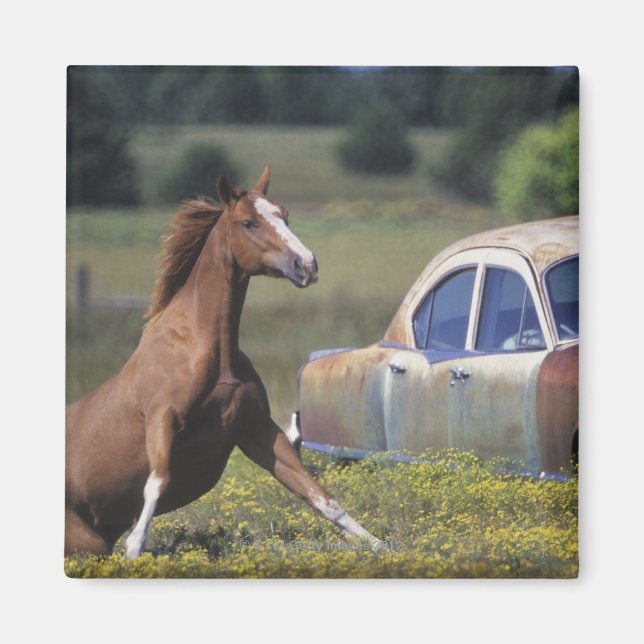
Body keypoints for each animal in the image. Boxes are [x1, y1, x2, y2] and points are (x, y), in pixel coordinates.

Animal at [65, 166, 379, 558]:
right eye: (248, 223)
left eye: (284, 214)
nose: (306, 264)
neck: (212, 355)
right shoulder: (162, 418)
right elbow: (157, 481)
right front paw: (135, 549)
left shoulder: (257, 429)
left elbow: (320, 496)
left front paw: (381, 546)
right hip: (86, 542)